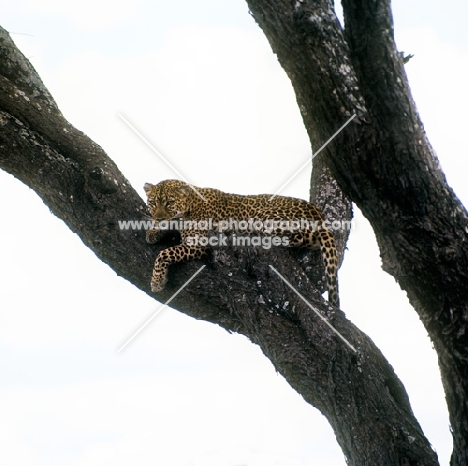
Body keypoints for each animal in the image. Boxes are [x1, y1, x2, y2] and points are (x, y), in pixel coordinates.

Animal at [143, 180, 340, 308]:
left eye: (169, 203)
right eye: (153, 203)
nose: (159, 218)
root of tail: (318, 213)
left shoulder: (200, 243)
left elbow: (164, 253)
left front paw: (156, 282)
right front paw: (152, 232)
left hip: (264, 218)